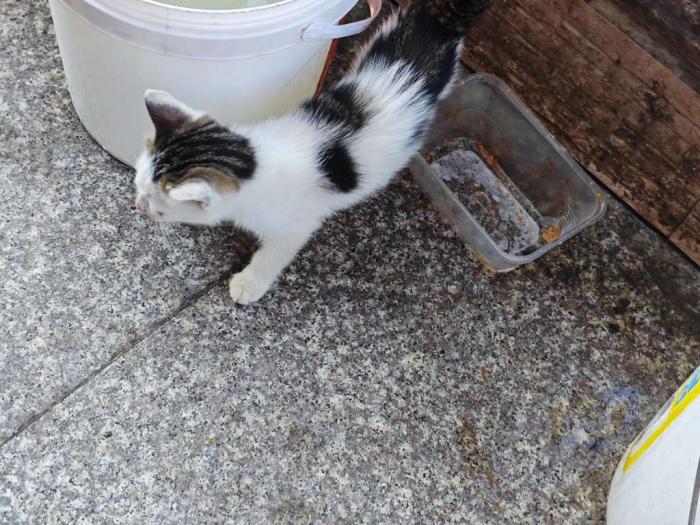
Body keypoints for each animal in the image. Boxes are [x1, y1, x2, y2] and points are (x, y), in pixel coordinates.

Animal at [134, 0, 491, 304]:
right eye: (138, 185)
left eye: (158, 209)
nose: (138, 206)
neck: (256, 160)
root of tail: (437, 22)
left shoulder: (297, 225)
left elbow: (274, 254)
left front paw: (249, 283)